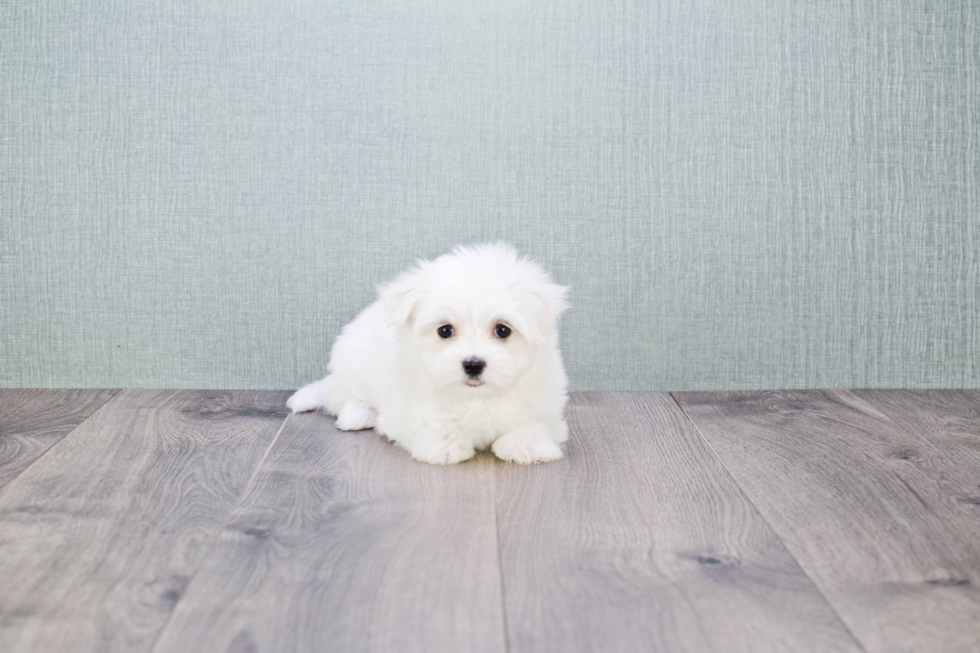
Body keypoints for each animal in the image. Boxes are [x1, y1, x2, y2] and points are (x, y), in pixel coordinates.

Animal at [288, 241, 572, 464]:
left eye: (502, 330)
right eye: (445, 330)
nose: (473, 364)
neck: (475, 398)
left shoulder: (544, 400)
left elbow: (534, 421)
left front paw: (526, 445)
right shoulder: (404, 407)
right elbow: (432, 420)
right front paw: (447, 447)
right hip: (353, 359)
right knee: (343, 395)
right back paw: (357, 414)